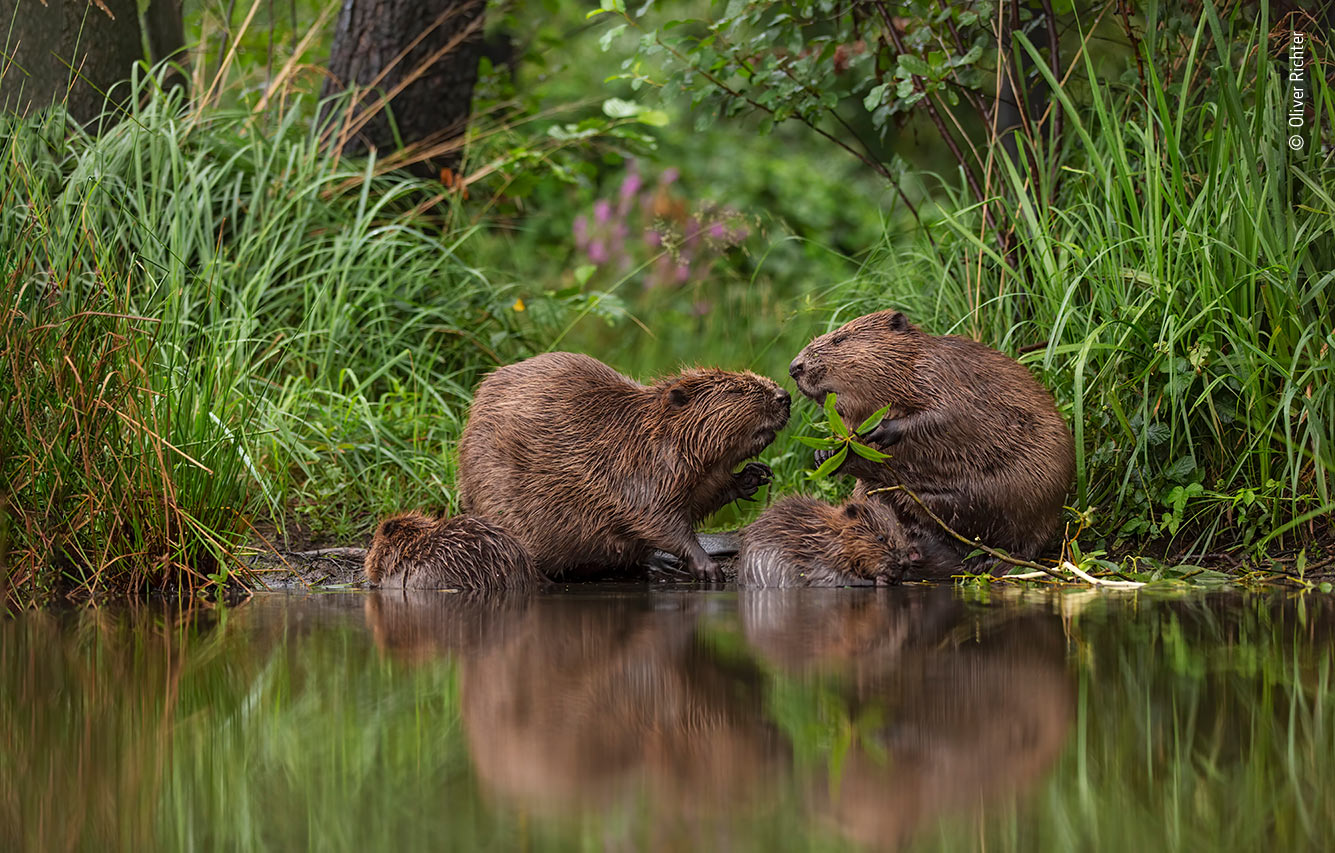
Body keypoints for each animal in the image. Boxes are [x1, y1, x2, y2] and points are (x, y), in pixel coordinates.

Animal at [736, 493, 955, 587]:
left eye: (902, 534)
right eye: (880, 537)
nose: (904, 563)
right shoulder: (815, 559)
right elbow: (830, 578)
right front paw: (881, 579)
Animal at [790, 309, 1073, 571]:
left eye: (839, 339)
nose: (794, 367)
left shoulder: (940, 372)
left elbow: (949, 413)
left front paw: (882, 429)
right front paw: (825, 454)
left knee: (1026, 541)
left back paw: (993, 561)